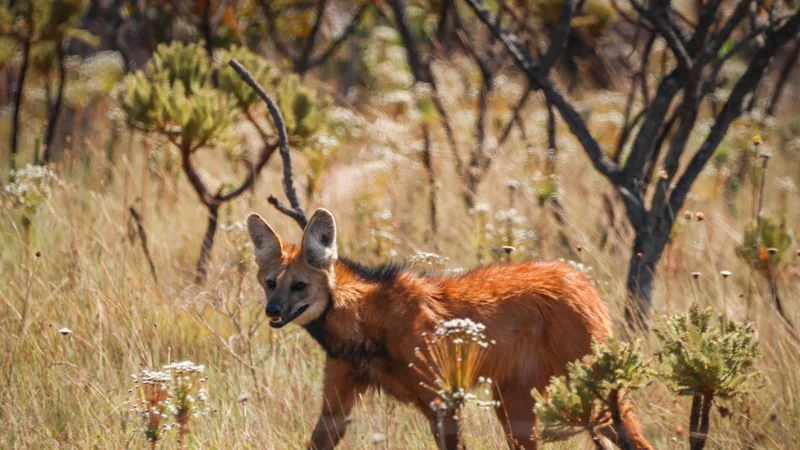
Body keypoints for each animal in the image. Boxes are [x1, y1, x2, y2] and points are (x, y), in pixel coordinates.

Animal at [247, 208, 650, 450]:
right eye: (270, 283)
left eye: (299, 286)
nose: (272, 311)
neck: (364, 324)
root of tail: (578, 278)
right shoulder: (337, 401)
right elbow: (322, 435)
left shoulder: (443, 401)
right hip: (515, 406)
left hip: (594, 395)